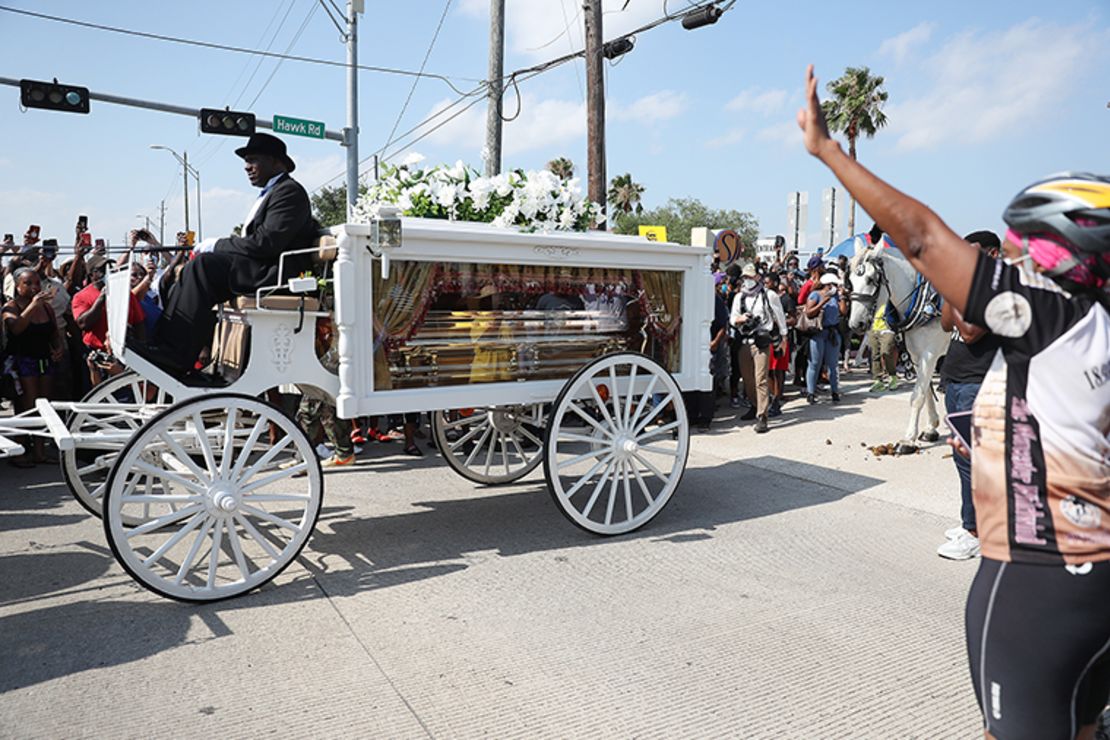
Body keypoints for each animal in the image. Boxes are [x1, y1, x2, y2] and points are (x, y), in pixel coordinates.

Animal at [843, 246, 950, 448]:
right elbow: (926, 391)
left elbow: (917, 396)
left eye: (871, 279)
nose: (855, 324)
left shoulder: (930, 354)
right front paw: (931, 428)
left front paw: (908, 439)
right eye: (850, 281)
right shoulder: (917, 356)